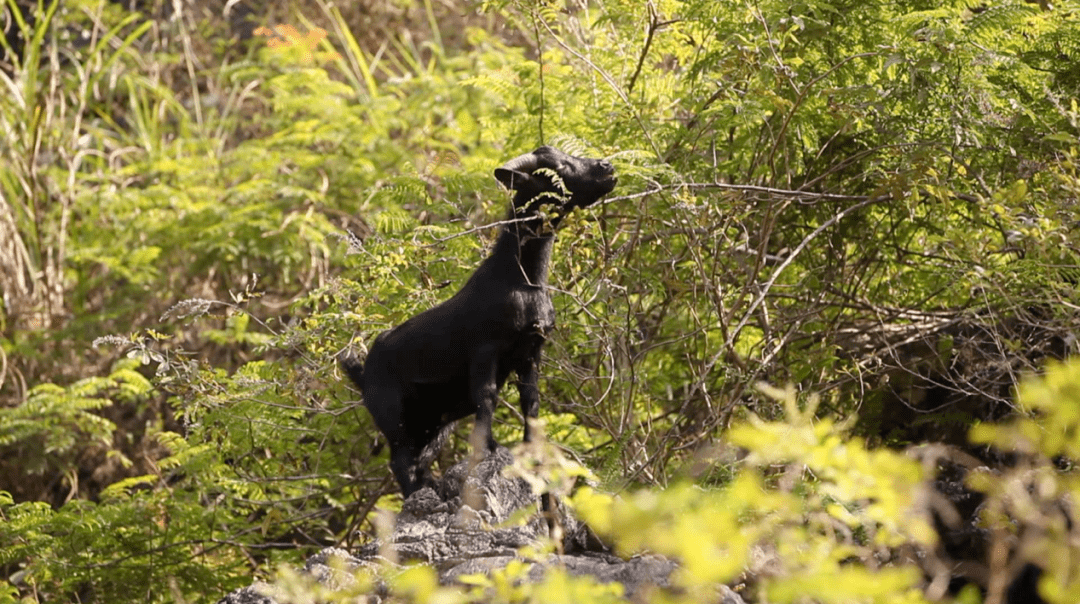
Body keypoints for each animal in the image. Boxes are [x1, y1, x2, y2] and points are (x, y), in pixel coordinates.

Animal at [343, 146, 617, 497]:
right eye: (557, 167)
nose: (606, 167)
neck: (522, 279)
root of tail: (362, 373)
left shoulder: (531, 351)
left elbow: (531, 400)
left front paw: (531, 452)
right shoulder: (487, 350)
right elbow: (487, 396)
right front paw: (489, 449)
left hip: (434, 422)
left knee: (420, 459)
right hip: (395, 417)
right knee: (401, 462)